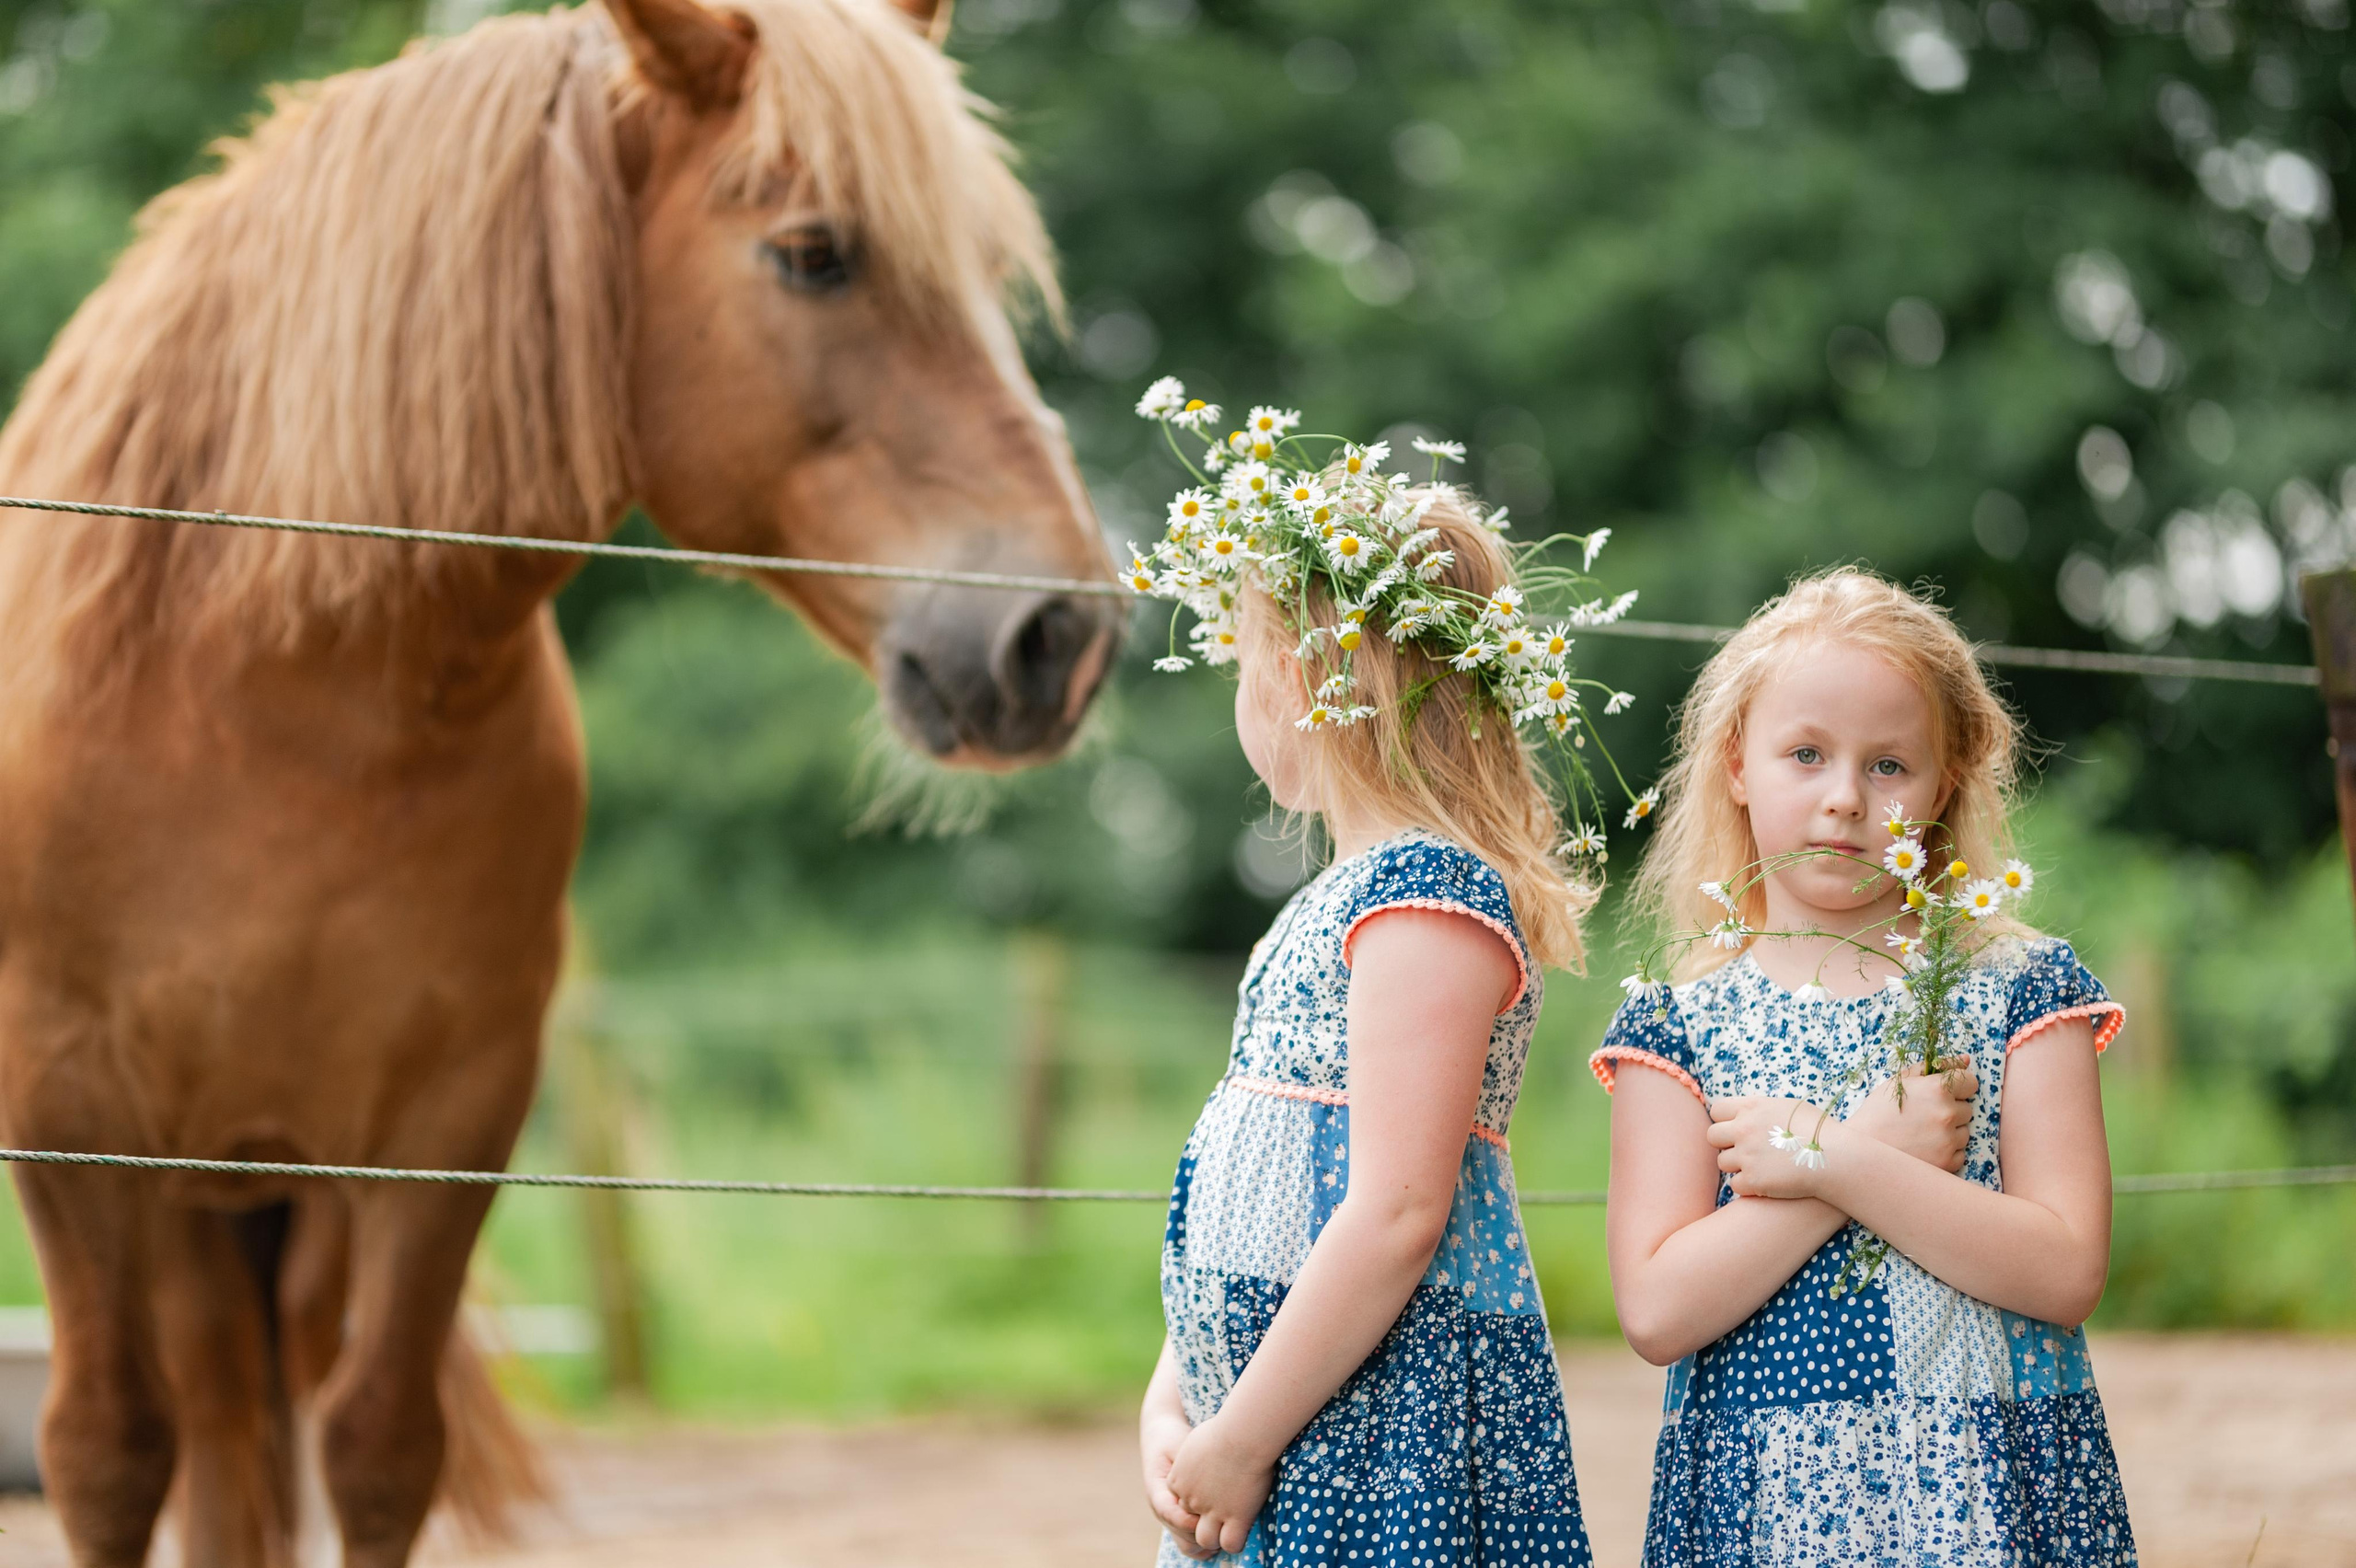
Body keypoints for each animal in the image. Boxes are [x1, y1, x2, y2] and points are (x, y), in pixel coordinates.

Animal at [0, 0, 1120, 1559]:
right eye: (814, 253)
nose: (1057, 636)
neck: (258, 687)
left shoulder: (450, 1118)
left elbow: (379, 1448)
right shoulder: (66, 1115)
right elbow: (103, 1455)